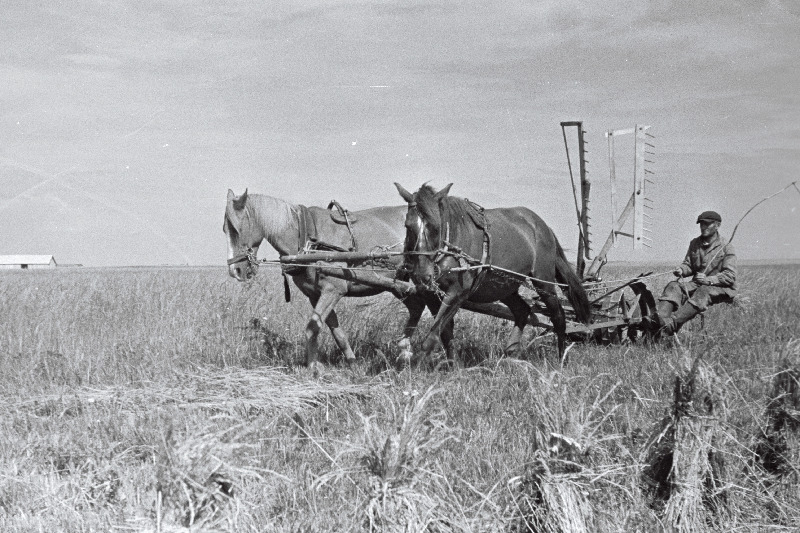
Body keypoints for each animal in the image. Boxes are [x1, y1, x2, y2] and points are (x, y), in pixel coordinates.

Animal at [394, 182, 588, 362]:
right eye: (407, 226)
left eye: (436, 227)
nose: (423, 275)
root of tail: (543, 226)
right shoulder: (429, 294)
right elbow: (444, 332)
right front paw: (452, 364)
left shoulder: (458, 292)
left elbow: (433, 335)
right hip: (503, 286)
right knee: (522, 310)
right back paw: (510, 351)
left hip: (543, 280)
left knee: (558, 317)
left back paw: (562, 358)